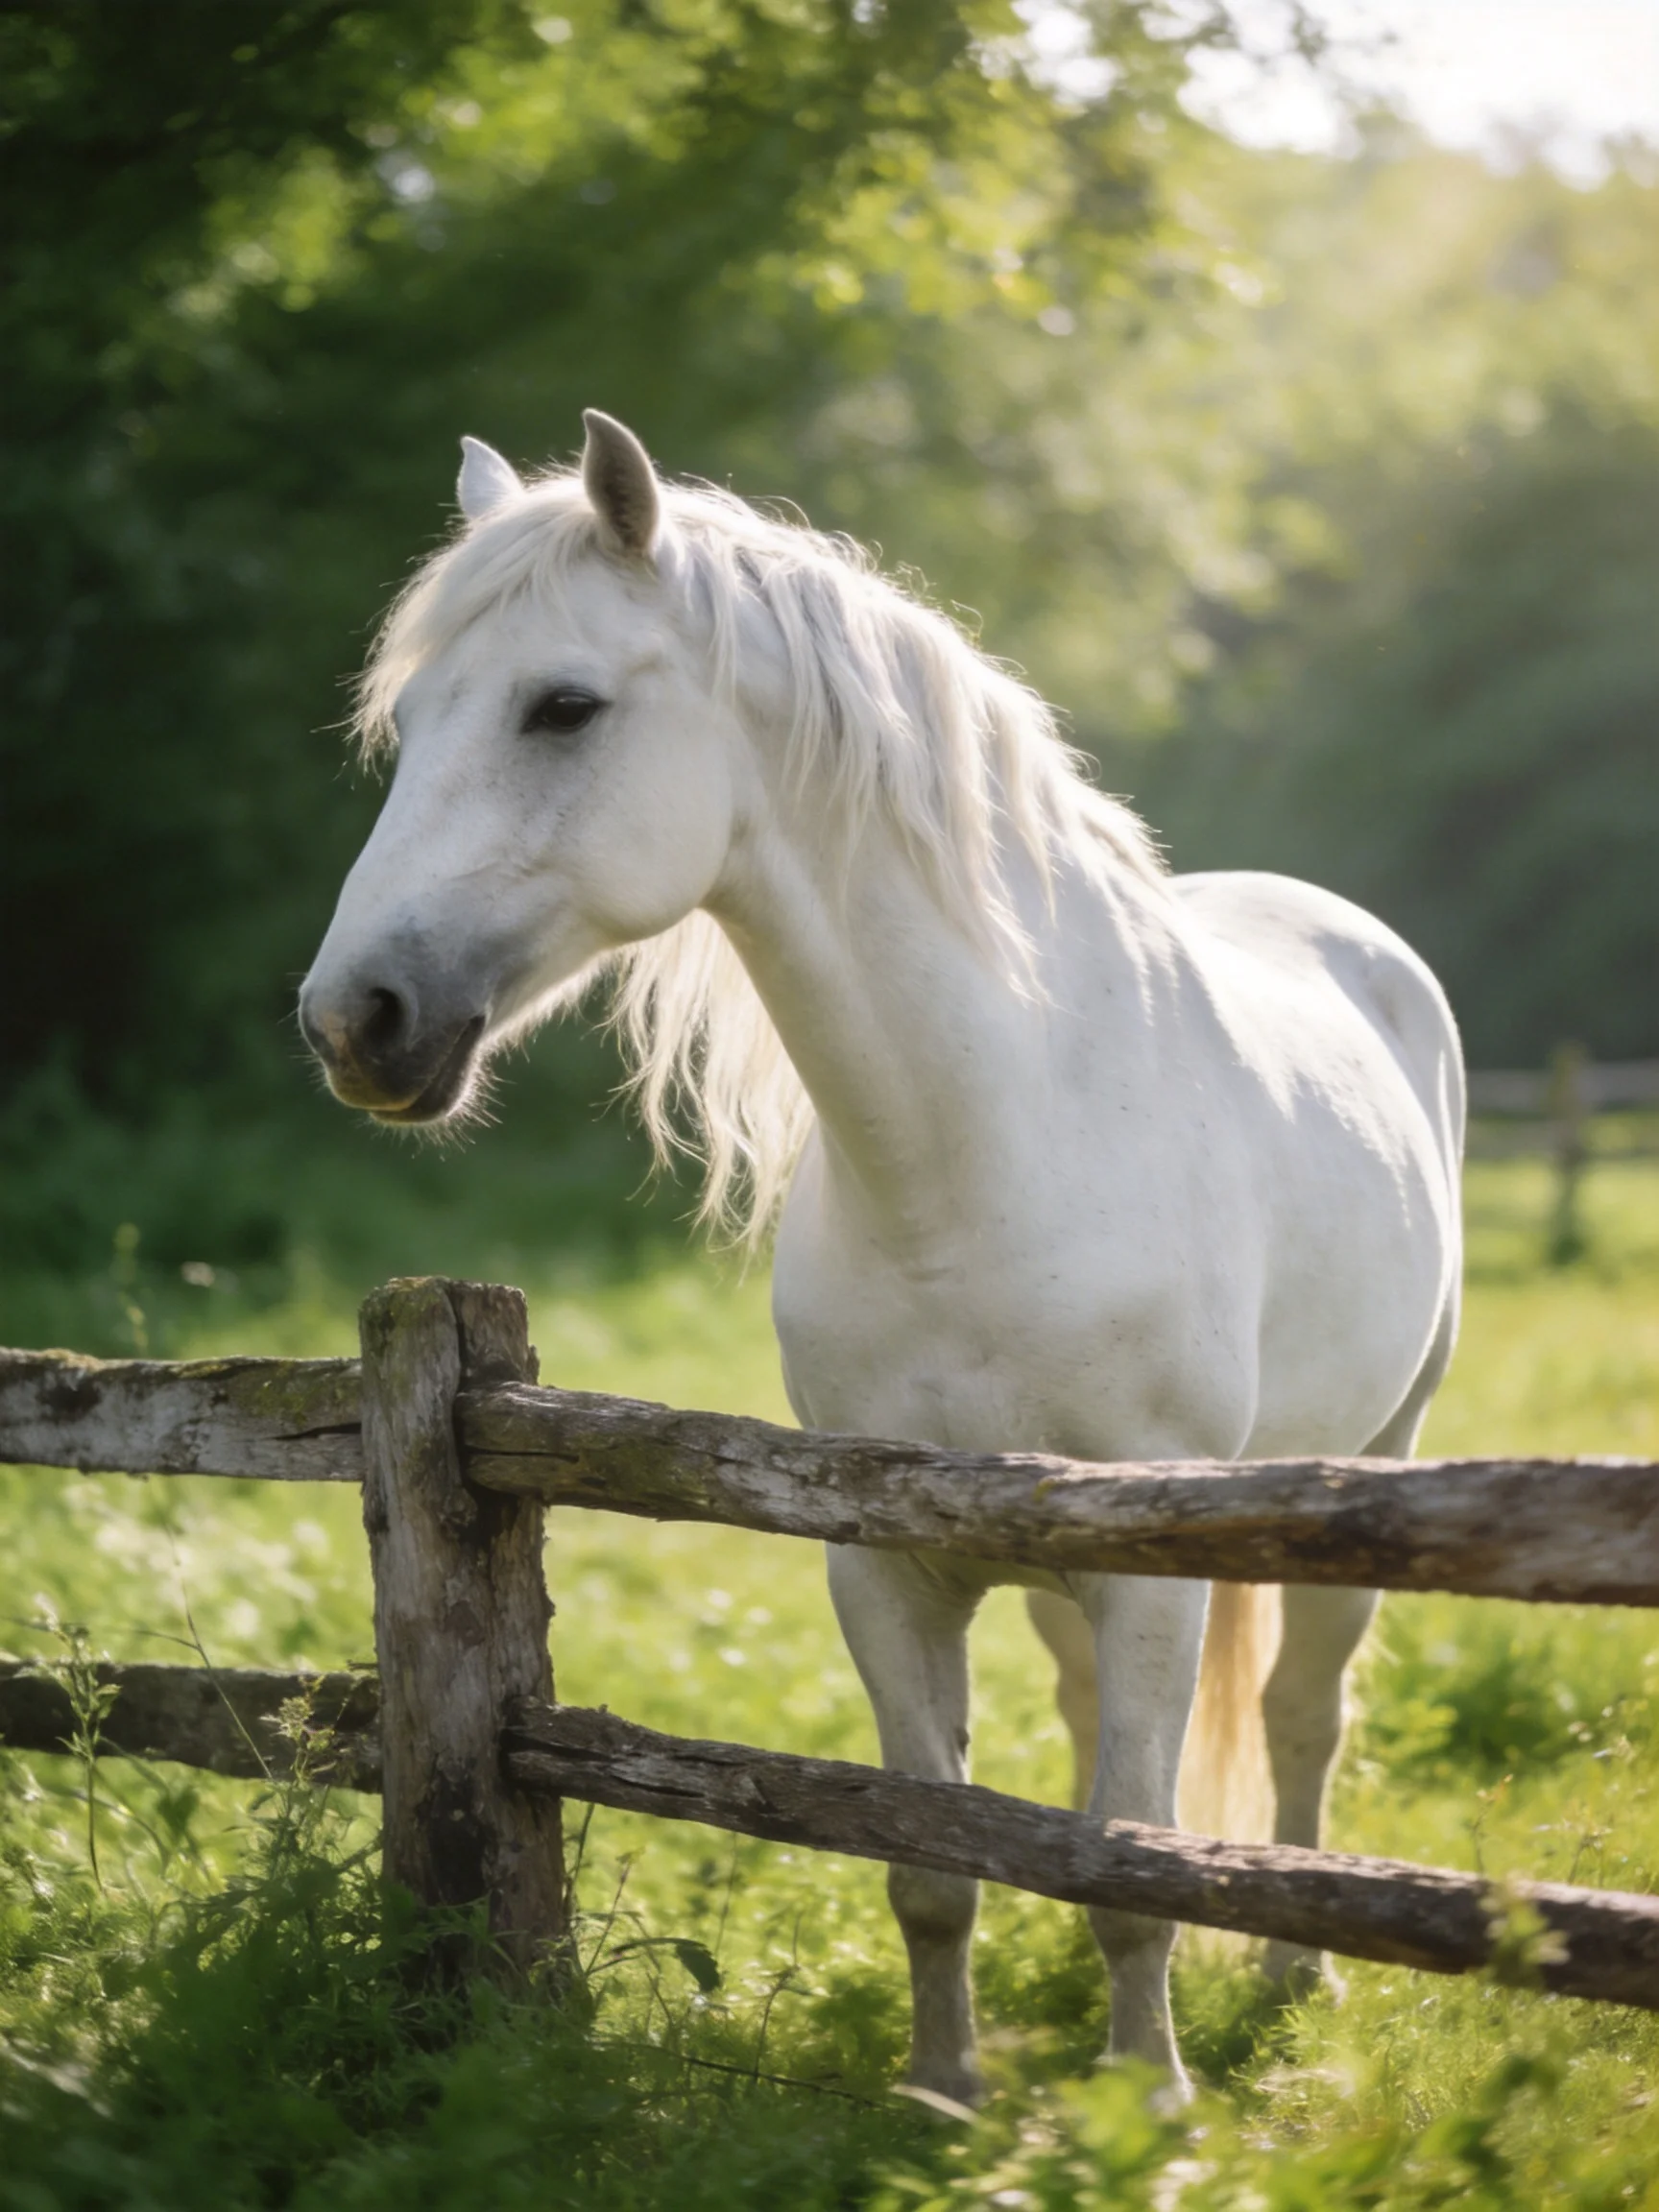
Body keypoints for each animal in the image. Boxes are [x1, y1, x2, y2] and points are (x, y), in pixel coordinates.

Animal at [299, 411, 1464, 2104]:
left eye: (561, 706)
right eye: (413, 720)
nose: (354, 1019)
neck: (985, 1159)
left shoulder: (1158, 1566)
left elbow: (1132, 1854)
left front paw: (1151, 2098)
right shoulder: (887, 1567)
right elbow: (937, 1855)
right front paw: (944, 2092)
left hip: (1374, 1467)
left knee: (1301, 1714)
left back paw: (1294, 1971)